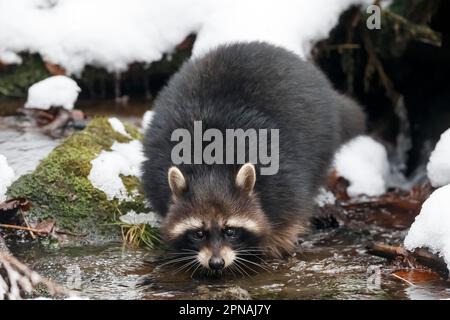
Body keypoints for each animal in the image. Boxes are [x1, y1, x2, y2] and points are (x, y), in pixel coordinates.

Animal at [142, 41, 366, 274]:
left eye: (230, 230)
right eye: (198, 233)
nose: (216, 263)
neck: (211, 168)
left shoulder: (283, 177)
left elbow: (288, 218)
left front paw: (270, 245)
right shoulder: (156, 173)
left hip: (321, 138)